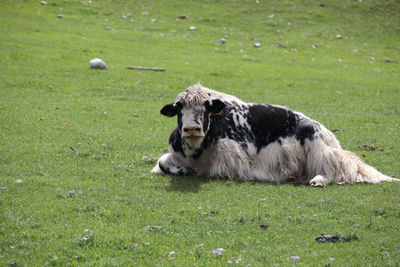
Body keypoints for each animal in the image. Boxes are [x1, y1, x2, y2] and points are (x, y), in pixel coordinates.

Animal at [152, 85, 398, 187]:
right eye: (179, 107)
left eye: (207, 106)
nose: (192, 129)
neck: (195, 152)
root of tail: (329, 135)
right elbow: (163, 163)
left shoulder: (234, 159)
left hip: (318, 147)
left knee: (333, 172)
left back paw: (316, 180)